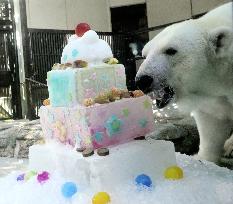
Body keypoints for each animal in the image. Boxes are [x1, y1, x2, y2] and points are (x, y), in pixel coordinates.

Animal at [136, 2, 232, 163]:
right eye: (144, 54)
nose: (142, 80)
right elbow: (211, 123)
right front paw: (203, 158)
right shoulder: (212, 99)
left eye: (170, 50)